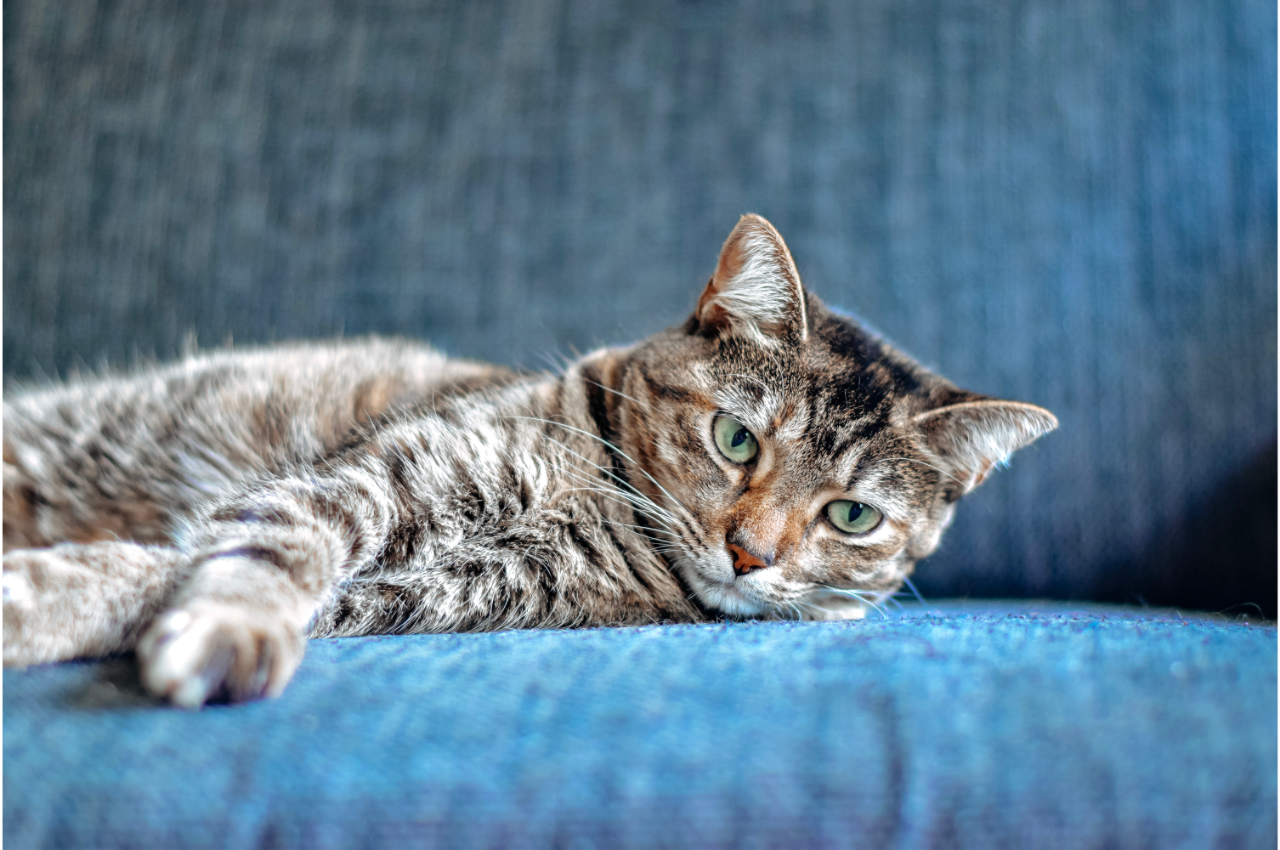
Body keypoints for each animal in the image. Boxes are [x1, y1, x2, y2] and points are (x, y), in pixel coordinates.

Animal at [0, 216, 1054, 706]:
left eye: (852, 516)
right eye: (737, 439)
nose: (751, 554)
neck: (598, 511)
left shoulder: (427, 597)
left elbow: (164, 569)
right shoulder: (366, 479)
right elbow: (269, 548)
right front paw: (231, 628)